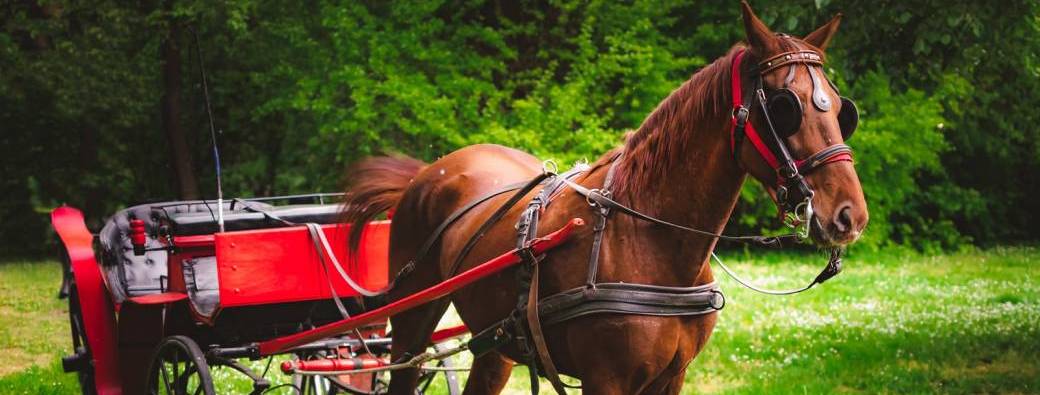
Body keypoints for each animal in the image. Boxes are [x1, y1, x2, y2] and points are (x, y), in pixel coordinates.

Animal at [345, 2, 865, 392]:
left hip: (495, 343)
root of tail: (425, 173)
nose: (849, 216)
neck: (647, 238)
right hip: (411, 321)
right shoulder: (606, 381)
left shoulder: (671, 378)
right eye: (783, 107)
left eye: (841, 109)